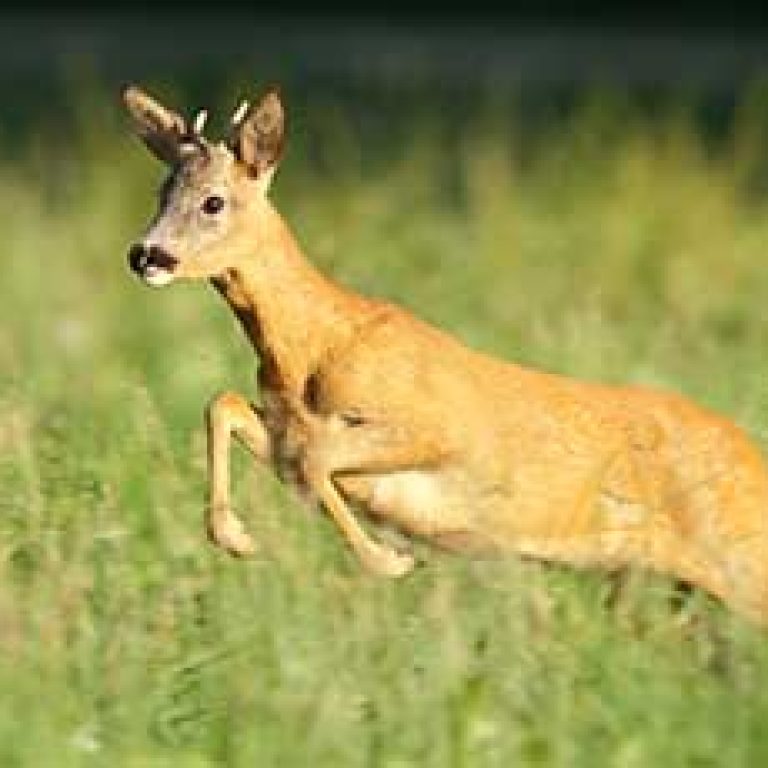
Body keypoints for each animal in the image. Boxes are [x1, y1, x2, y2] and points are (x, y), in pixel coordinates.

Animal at [123, 84, 768, 624]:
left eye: (213, 202)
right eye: (162, 191)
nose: (146, 255)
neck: (313, 349)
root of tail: (753, 457)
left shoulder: (435, 429)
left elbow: (316, 458)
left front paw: (389, 561)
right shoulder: (286, 432)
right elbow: (227, 406)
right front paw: (236, 537)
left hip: (740, 561)